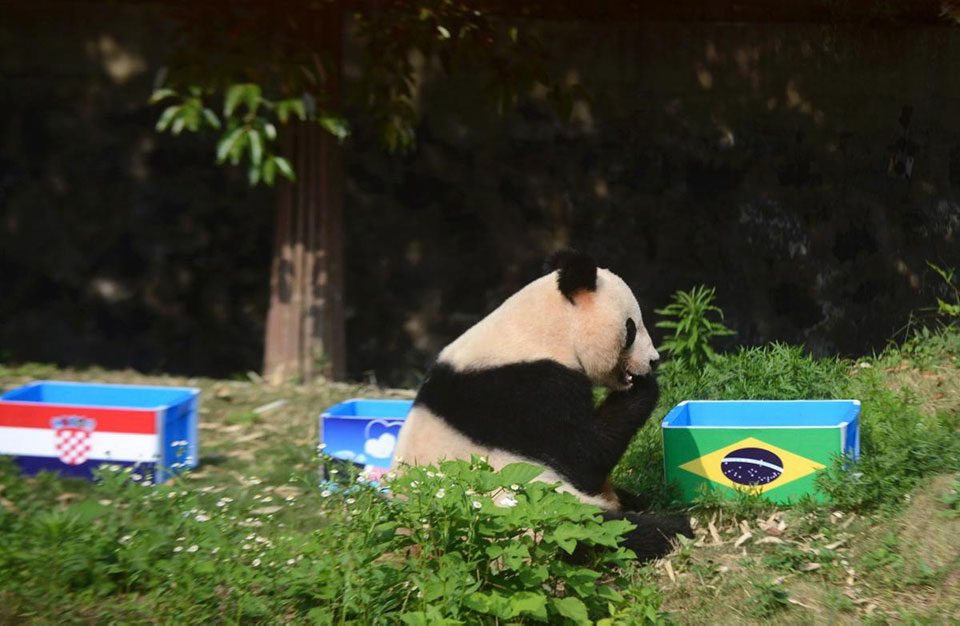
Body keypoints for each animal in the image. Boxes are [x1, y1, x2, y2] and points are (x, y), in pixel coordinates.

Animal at [394, 250, 692, 560]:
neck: (543, 330)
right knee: (603, 530)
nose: (653, 360)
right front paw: (646, 385)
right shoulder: (528, 391)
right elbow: (583, 456)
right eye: (631, 327)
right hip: (533, 514)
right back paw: (674, 527)